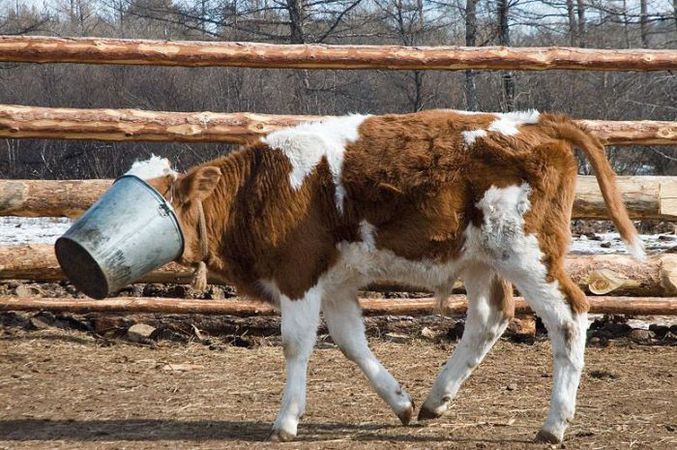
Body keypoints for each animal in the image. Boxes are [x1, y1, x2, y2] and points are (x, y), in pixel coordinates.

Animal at [133, 110, 644, 442]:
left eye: (164, 200)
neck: (263, 185)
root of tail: (531, 122)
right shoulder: (335, 285)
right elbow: (350, 342)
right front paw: (400, 403)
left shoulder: (298, 276)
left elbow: (296, 345)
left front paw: (286, 421)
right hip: (482, 260)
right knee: (490, 317)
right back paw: (437, 399)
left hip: (526, 255)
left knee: (569, 316)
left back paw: (554, 425)